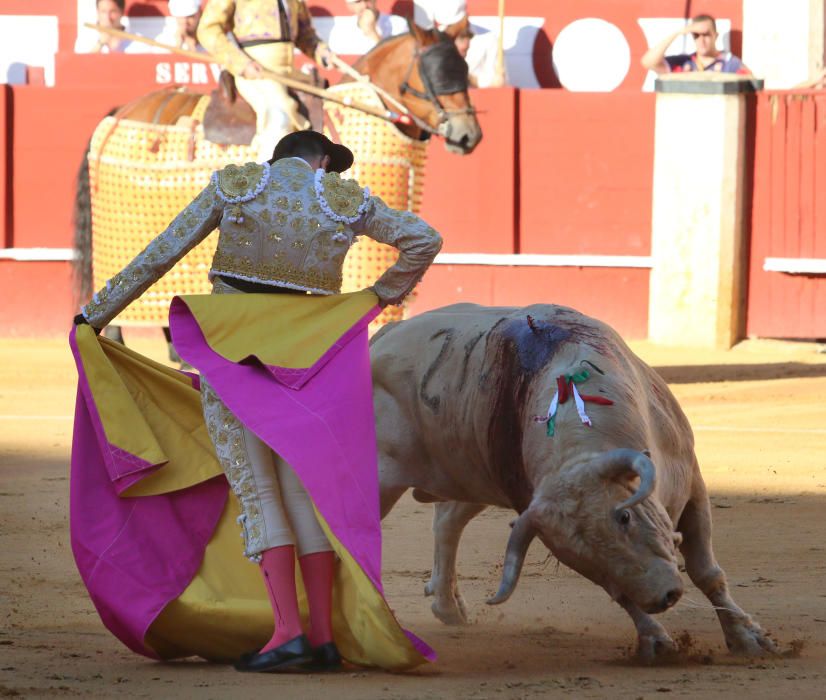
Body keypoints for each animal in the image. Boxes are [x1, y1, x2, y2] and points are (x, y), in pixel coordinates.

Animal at [370, 304, 776, 660]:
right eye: (577, 558)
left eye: (624, 517)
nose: (664, 597)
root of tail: (383, 338)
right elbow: (621, 592)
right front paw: (656, 641)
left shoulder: (692, 483)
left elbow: (707, 571)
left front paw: (748, 638)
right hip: (393, 481)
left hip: (471, 472)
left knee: (447, 521)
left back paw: (447, 606)